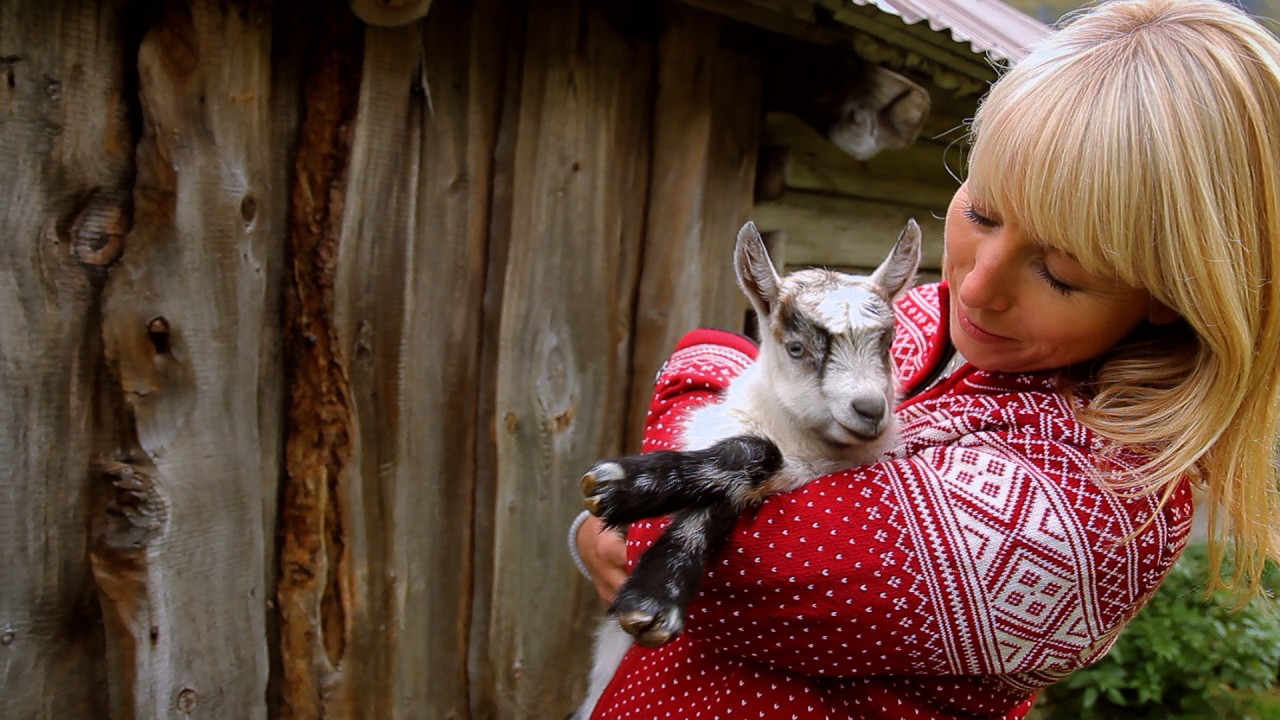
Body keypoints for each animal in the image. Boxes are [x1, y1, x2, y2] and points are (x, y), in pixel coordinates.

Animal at [571, 219, 921, 719]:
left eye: (888, 344)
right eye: (796, 348)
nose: (870, 410)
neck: (803, 449)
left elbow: (740, 483)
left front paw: (655, 596)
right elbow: (755, 454)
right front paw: (622, 486)